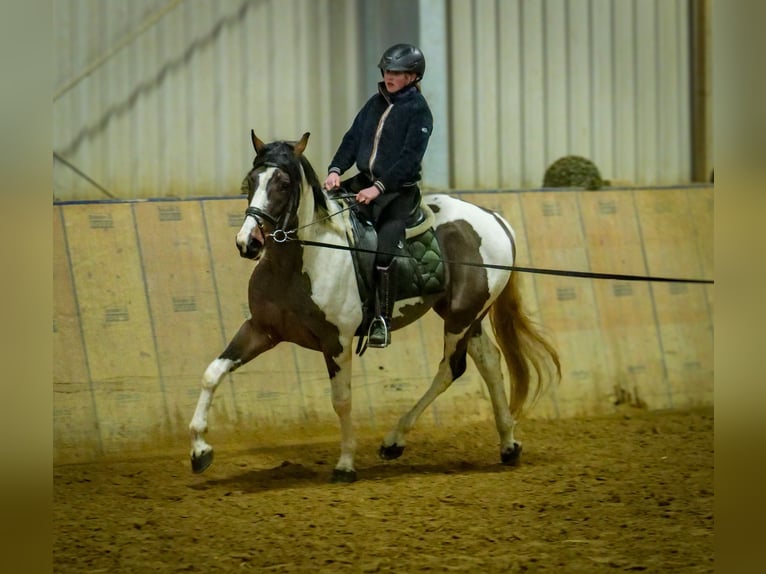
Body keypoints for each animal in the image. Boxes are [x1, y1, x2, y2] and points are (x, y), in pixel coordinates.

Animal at [189, 132, 560, 486]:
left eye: (282, 184)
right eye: (251, 181)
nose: (247, 243)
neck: (302, 261)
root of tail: (495, 219)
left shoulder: (336, 342)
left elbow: (341, 400)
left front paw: (345, 465)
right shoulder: (260, 330)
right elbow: (212, 372)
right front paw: (200, 450)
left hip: (461, 318)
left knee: (450, 369)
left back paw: (394, 441)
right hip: (467, 316)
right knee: (490, 362)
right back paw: (508, 445)